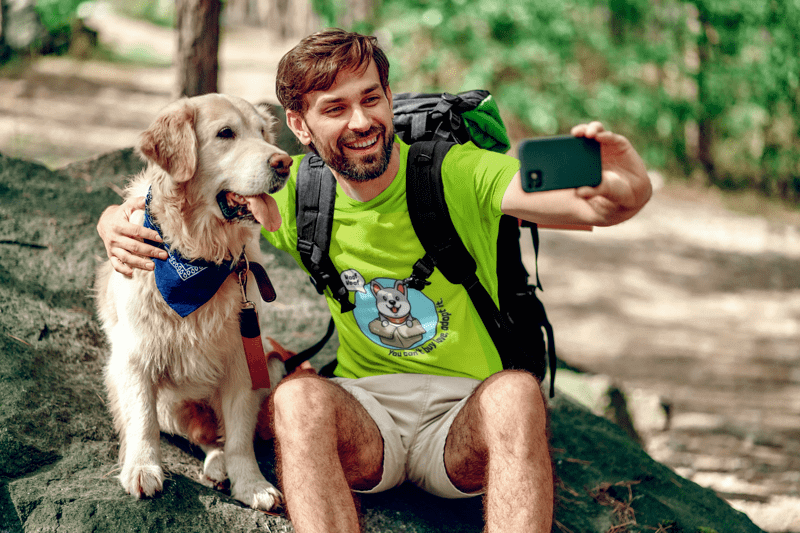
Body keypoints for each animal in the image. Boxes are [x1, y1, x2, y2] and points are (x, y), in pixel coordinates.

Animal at [95, 93, 292, 510]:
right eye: (226, 134)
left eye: (263, 132)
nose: (284, 162)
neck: (200, 257)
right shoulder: (135, 357)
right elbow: (142, 421)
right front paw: (142, 468)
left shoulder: (243, 360)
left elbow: (239, 437)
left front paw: (250, 484)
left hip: (271, 361)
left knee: (218, 436)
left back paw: (221, 467)